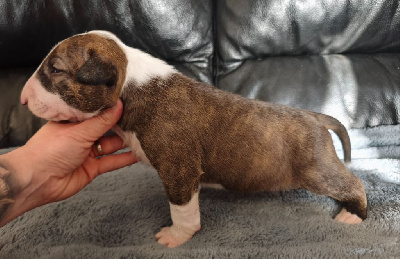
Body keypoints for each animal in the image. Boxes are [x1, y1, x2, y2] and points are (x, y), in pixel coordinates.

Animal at [20, 31, 368, 249]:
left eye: (55, 69)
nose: (23, 100)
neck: (133, 82)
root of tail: (316, 116)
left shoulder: (179, 171)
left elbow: (182, 209)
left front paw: (177, 236)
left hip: (317, 170)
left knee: (354, 184)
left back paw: (353, 215)